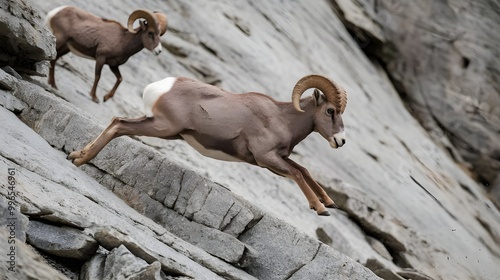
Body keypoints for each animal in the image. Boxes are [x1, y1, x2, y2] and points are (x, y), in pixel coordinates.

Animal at [68, 75, 348, 217]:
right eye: (330, 111)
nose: (341, 141)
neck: (282, 118)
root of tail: (160, 86)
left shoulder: (276, 159)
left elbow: (304, 170)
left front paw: (329, 202)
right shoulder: (266, 158)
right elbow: (297, 173)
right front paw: (320, 208)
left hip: (163, 129)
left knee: (116, 121)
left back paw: (76, 155)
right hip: (162, 128)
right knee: (119, 126)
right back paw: (81, 160)